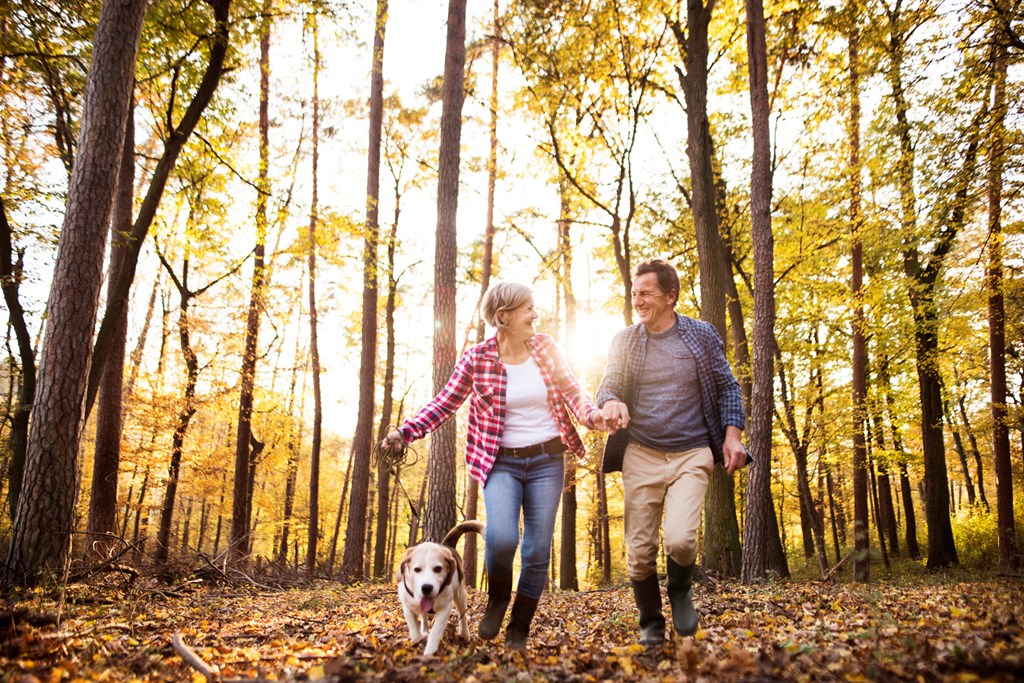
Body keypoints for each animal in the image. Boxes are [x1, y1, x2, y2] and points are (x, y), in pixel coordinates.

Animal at [395, 524, 483, 655]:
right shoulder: (407, 606)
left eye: (438, 568)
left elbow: (436, 631)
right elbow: (414, 631)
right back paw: (425, 628)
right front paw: (420, 637)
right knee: (424, 616)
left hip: (460, 595)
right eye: (417, 569)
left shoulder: (445, 608)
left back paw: (465, 634)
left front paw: (429, 652)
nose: (427, 587)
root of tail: (446, 545)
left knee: (462, 616)